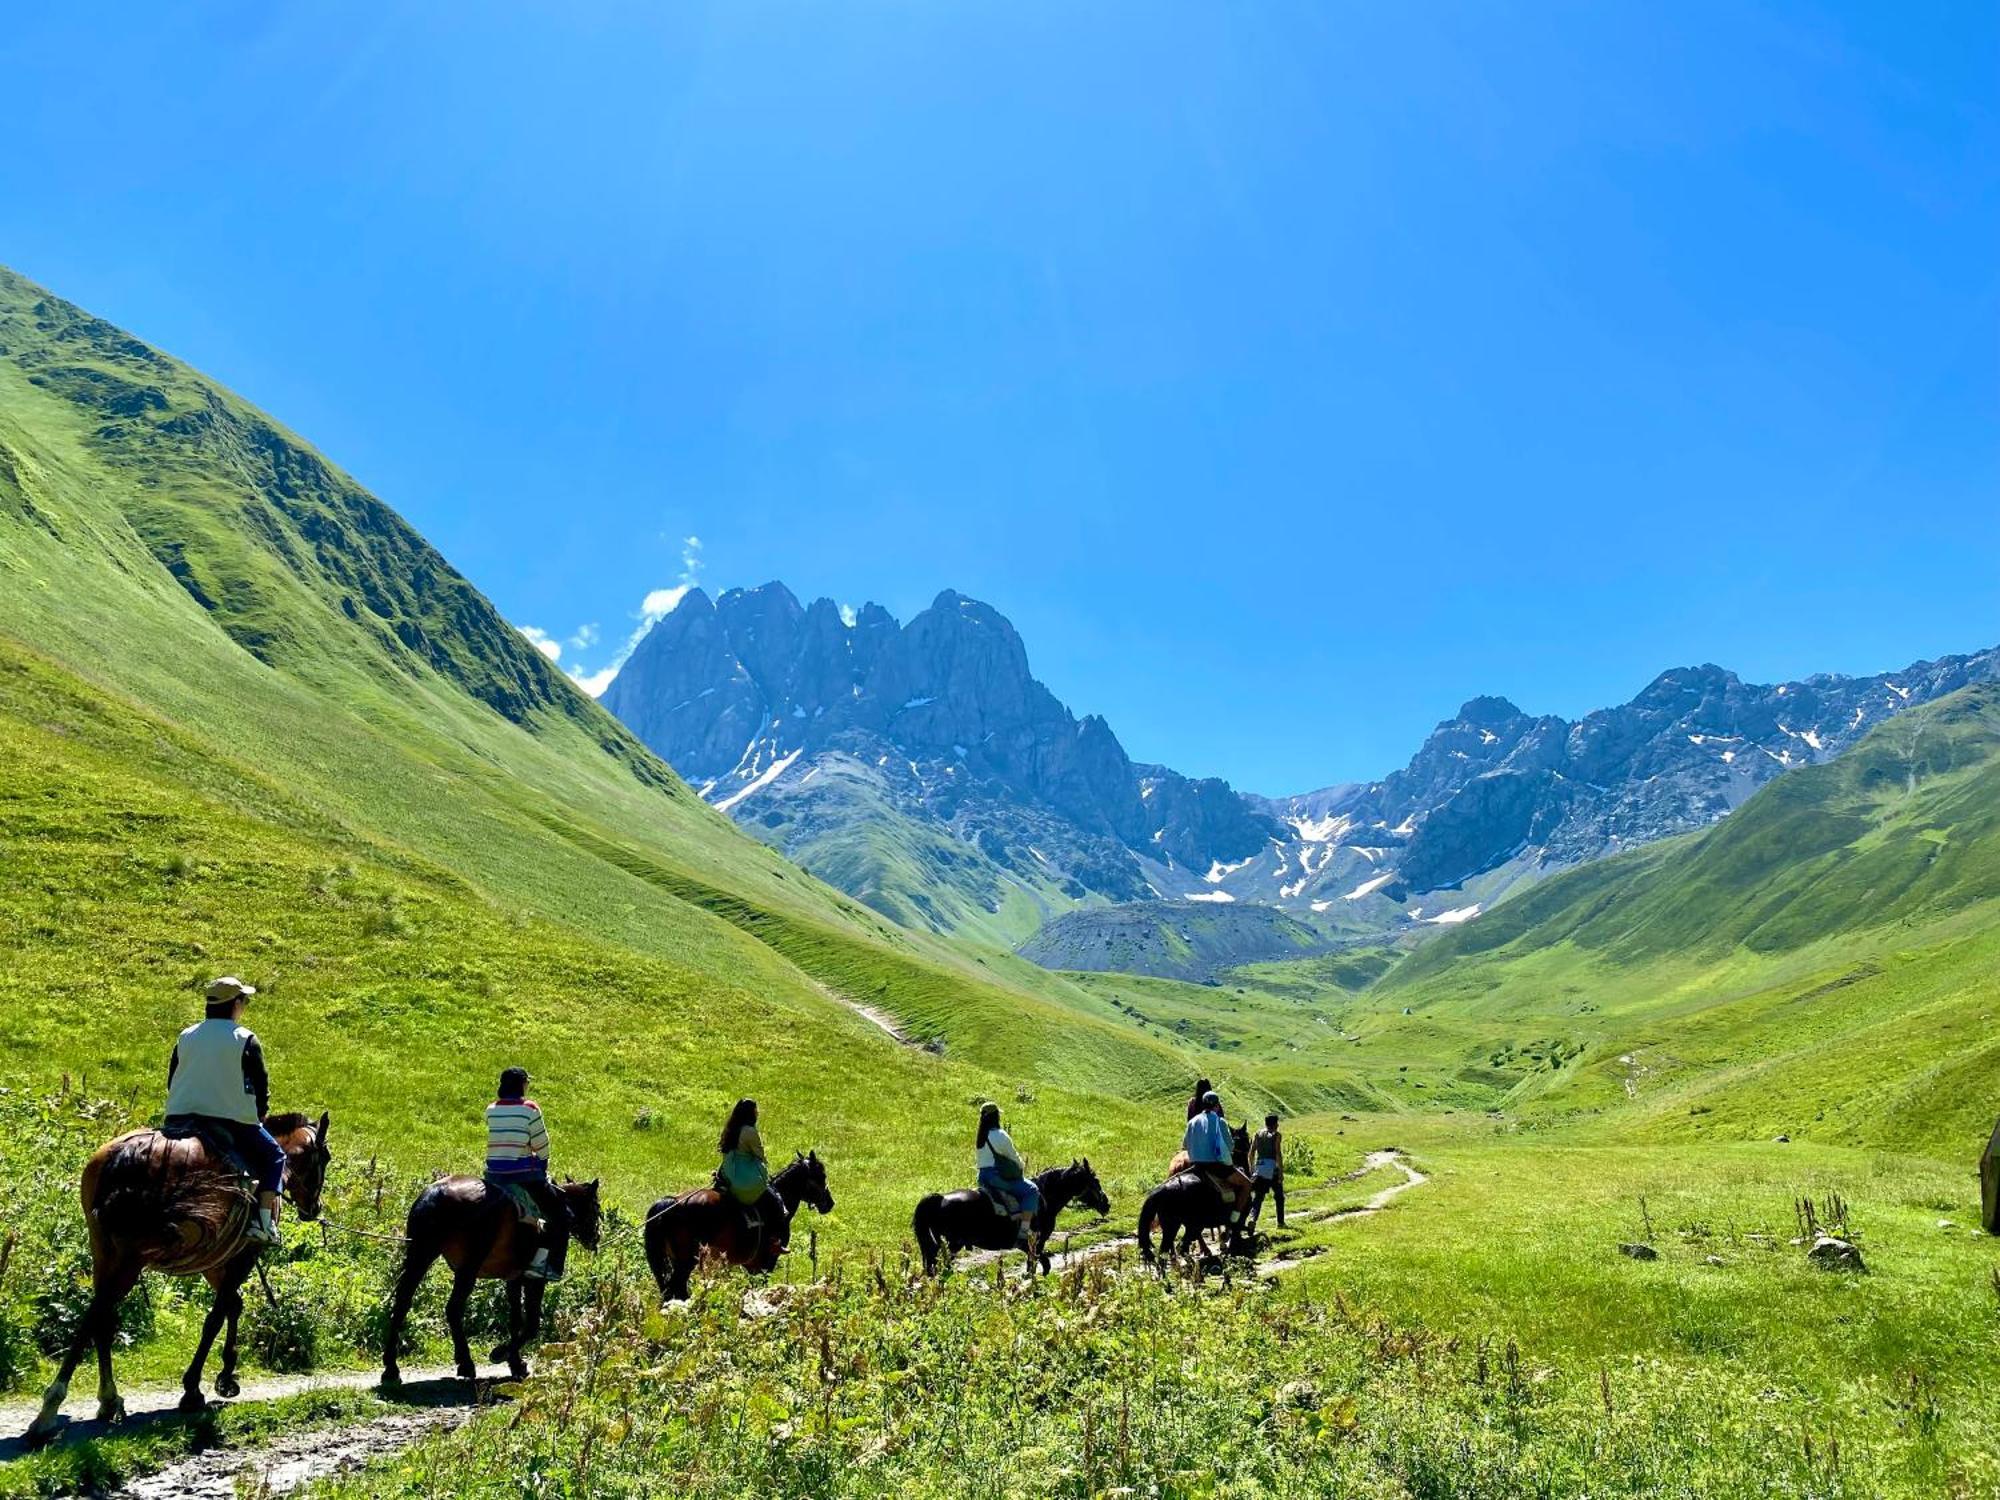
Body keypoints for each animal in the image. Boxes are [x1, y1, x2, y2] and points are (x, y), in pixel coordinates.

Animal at [22, 1120, 332, 1448]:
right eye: (324, 1159)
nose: (314, 1208)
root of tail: (124, 1155)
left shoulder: (216, 1260)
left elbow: (233, 1306)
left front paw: (225, 1373)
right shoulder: (245, 1253)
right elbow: (215, 1318)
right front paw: (197, 1387)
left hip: (103, 1249)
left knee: (102, 1320)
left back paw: (108, 1399)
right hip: (131, 1255)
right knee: (97, 1315)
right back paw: (49, 1412)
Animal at [380, 1176, 600, 1384]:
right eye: (596, 1208)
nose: (595, 1238)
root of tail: (437, 1192)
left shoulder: (514, 1278)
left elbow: (515, 1320)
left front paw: (516, 1363)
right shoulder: (535, 1280)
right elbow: (531, 1324)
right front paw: (501, 1353)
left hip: (420, 1256)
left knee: (402, 1303)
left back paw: (391, 1368)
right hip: (468, 1266)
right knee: (453, 1309)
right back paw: (466, 1363)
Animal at [648, 1152, 836, 1304]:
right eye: (821, 1176)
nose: (830, 1203)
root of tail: (672, 1202)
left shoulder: (751, 1265)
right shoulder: (767, 1261)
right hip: (686, 1261)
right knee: (676, 1290)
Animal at [916, 1160, 1120, 1272]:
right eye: (1095, 1180)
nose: (1106, 1203)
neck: (1045, 1196)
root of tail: (941, 1198)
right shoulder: (1039, 1240)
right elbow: (1034, 1263)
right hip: (952, 1244)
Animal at [1144, 1120, 1248, 1272]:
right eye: (1248, 1138)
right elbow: (1232, 1227)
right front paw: (1228, 1244)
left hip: (1174, 1224)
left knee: (1169, 1246)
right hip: (1188, 1223)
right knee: (1181, 1244)